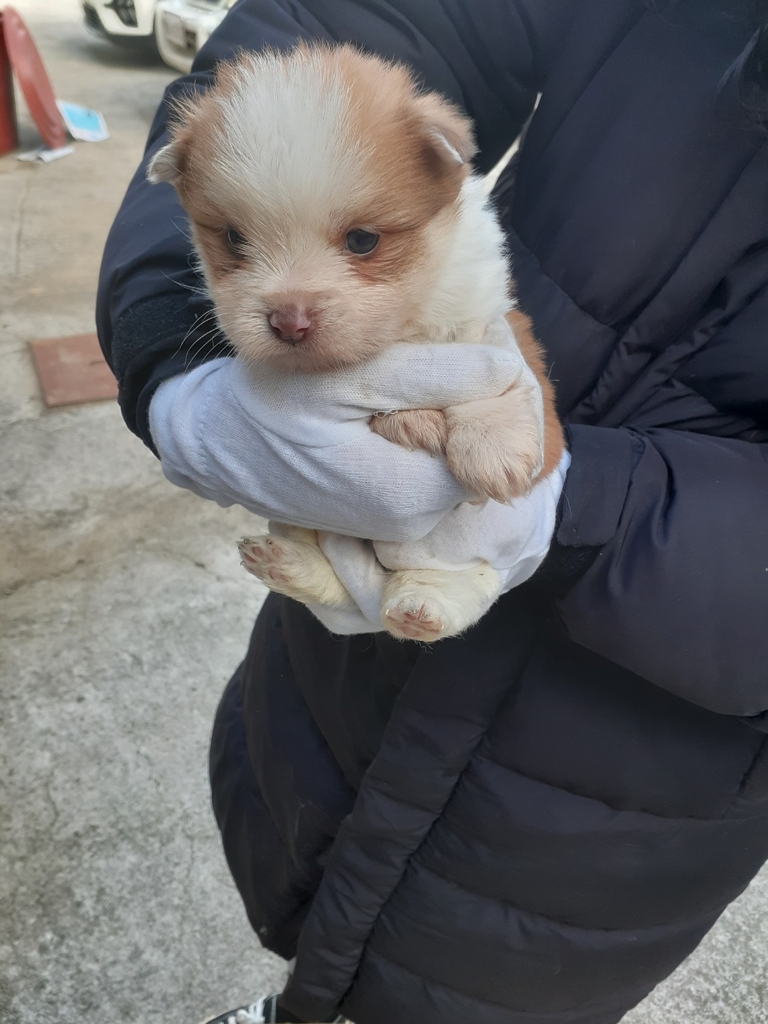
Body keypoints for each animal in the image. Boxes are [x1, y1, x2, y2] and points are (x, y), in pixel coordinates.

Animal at [148, 48, 565, 643]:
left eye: (363, 240)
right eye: (233, 239)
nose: (289, 319)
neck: (395, 335)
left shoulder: (490, 322)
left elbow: (500, 372)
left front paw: (493, 444)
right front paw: (410, 419)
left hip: (468, 556)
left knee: (464, 588)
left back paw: (421, 605)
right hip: (306, 523)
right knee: (341, 582)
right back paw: (292, 566)